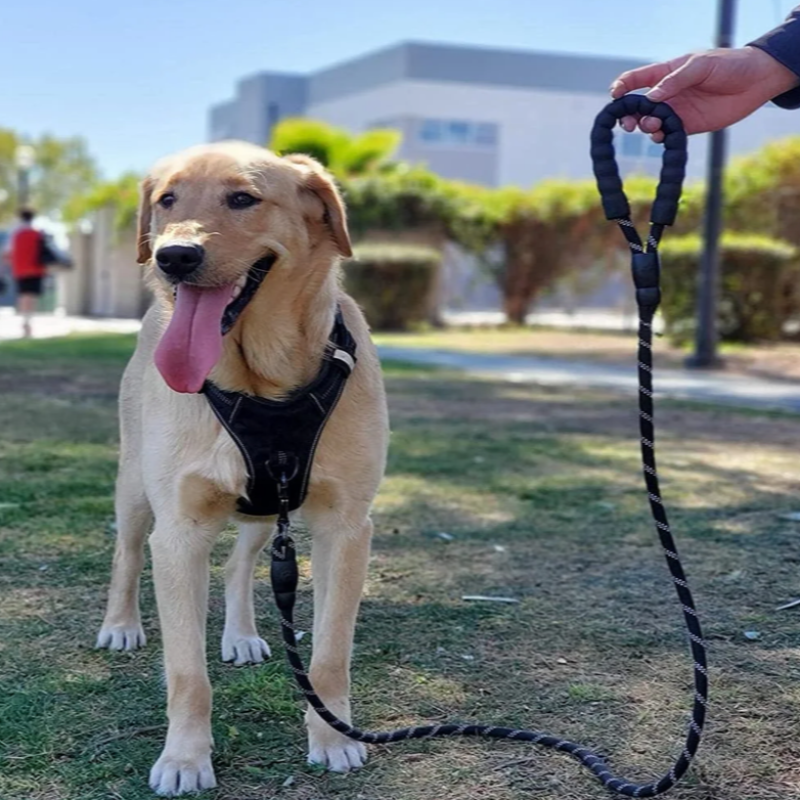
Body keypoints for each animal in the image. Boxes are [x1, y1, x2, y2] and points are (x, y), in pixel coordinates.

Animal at [95, 141, 390, 796]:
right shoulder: (178, 534)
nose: (174, 256)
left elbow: (330, 656)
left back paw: (243, 635)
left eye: (242, 198)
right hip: (136, 491)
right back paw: (121, 625)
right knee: (126, 555)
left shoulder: (345, 529)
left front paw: (332, 738)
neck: (263, 382)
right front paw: (184, 759)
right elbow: (187, 673)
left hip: (265, 511)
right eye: (167, 199)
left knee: (236, 567)